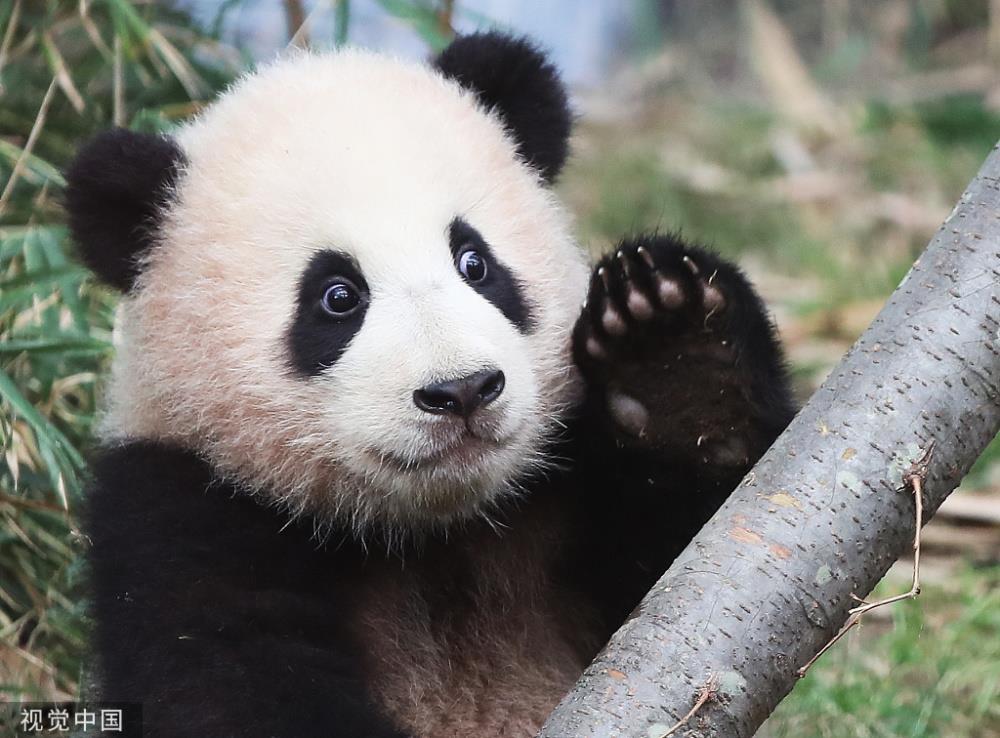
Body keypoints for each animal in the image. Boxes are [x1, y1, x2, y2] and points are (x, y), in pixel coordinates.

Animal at [66, 31, 792, 736]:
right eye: (337, 297)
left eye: (475, 262)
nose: (463, 390)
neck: (431, 533)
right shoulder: (177, 508)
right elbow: (228, 684)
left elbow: (680, 582)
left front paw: (674, 357)